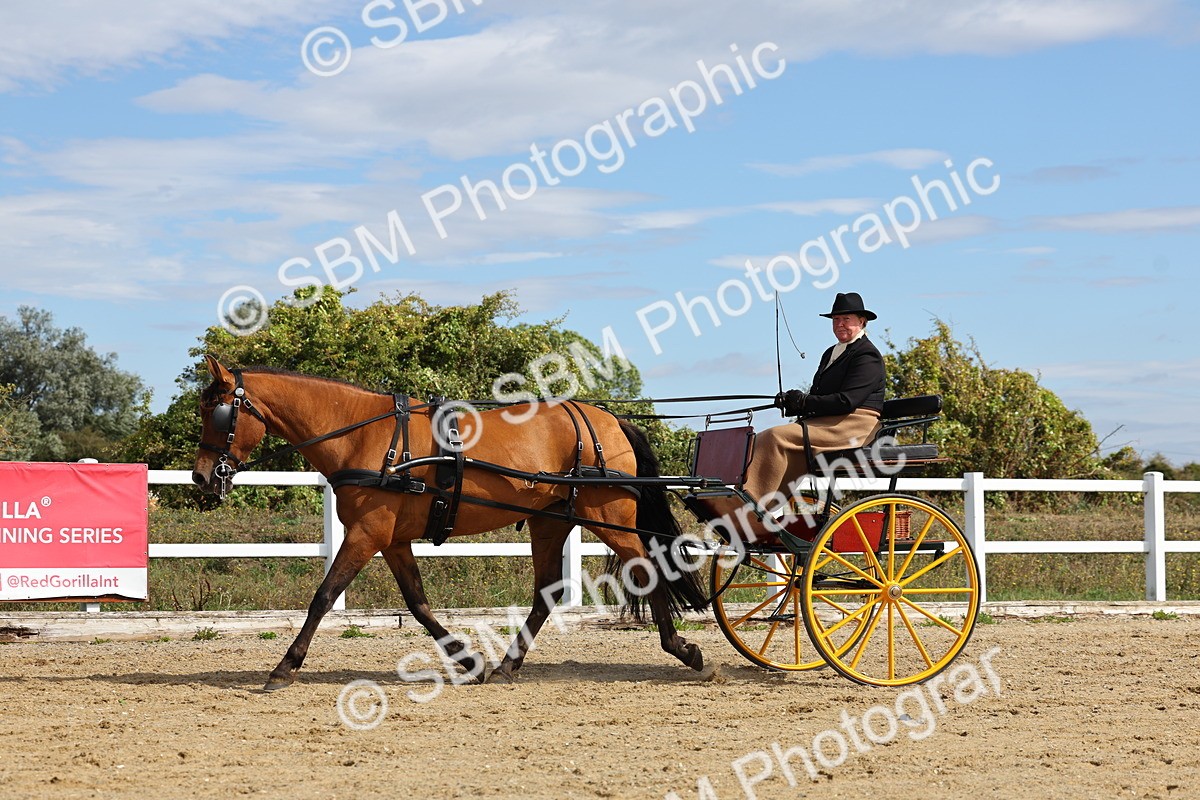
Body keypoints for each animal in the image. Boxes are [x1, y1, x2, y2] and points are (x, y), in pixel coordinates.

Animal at [190, 355, 709, 690]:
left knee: (647, 569)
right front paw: (468, 660)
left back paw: (684, 650)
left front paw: (285, 666)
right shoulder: (392, 539)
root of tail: (609, 420)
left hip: (609, 520)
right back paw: (505, 667)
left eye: (216, 411)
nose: (201, 477)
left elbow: (323, 596)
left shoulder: (367, 533)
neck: (363, 434)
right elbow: (418, 604)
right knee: (547, 591)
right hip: (550, 523)